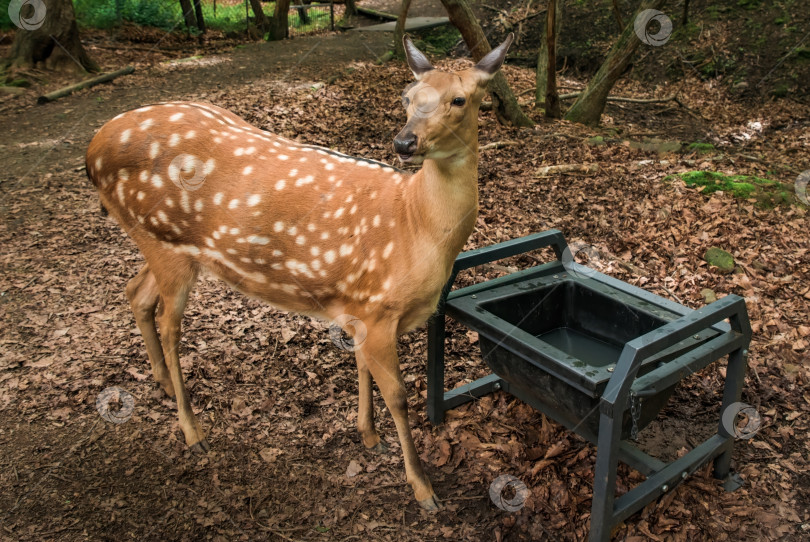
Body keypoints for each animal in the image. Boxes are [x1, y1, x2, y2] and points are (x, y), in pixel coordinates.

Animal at [85, 34, 516, 510]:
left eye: (459, 99)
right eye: (407, 97)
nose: (404, 142)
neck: (414, 221)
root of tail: (93, 148)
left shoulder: (359, 303)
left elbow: (362, 369)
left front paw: (369, 437)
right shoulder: (378, 310)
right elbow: (400, 397)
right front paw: (423, 489)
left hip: (155, 241)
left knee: (135, 292)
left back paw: (162, 385)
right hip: (166, 243)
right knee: (168, 325)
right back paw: (193, 432)